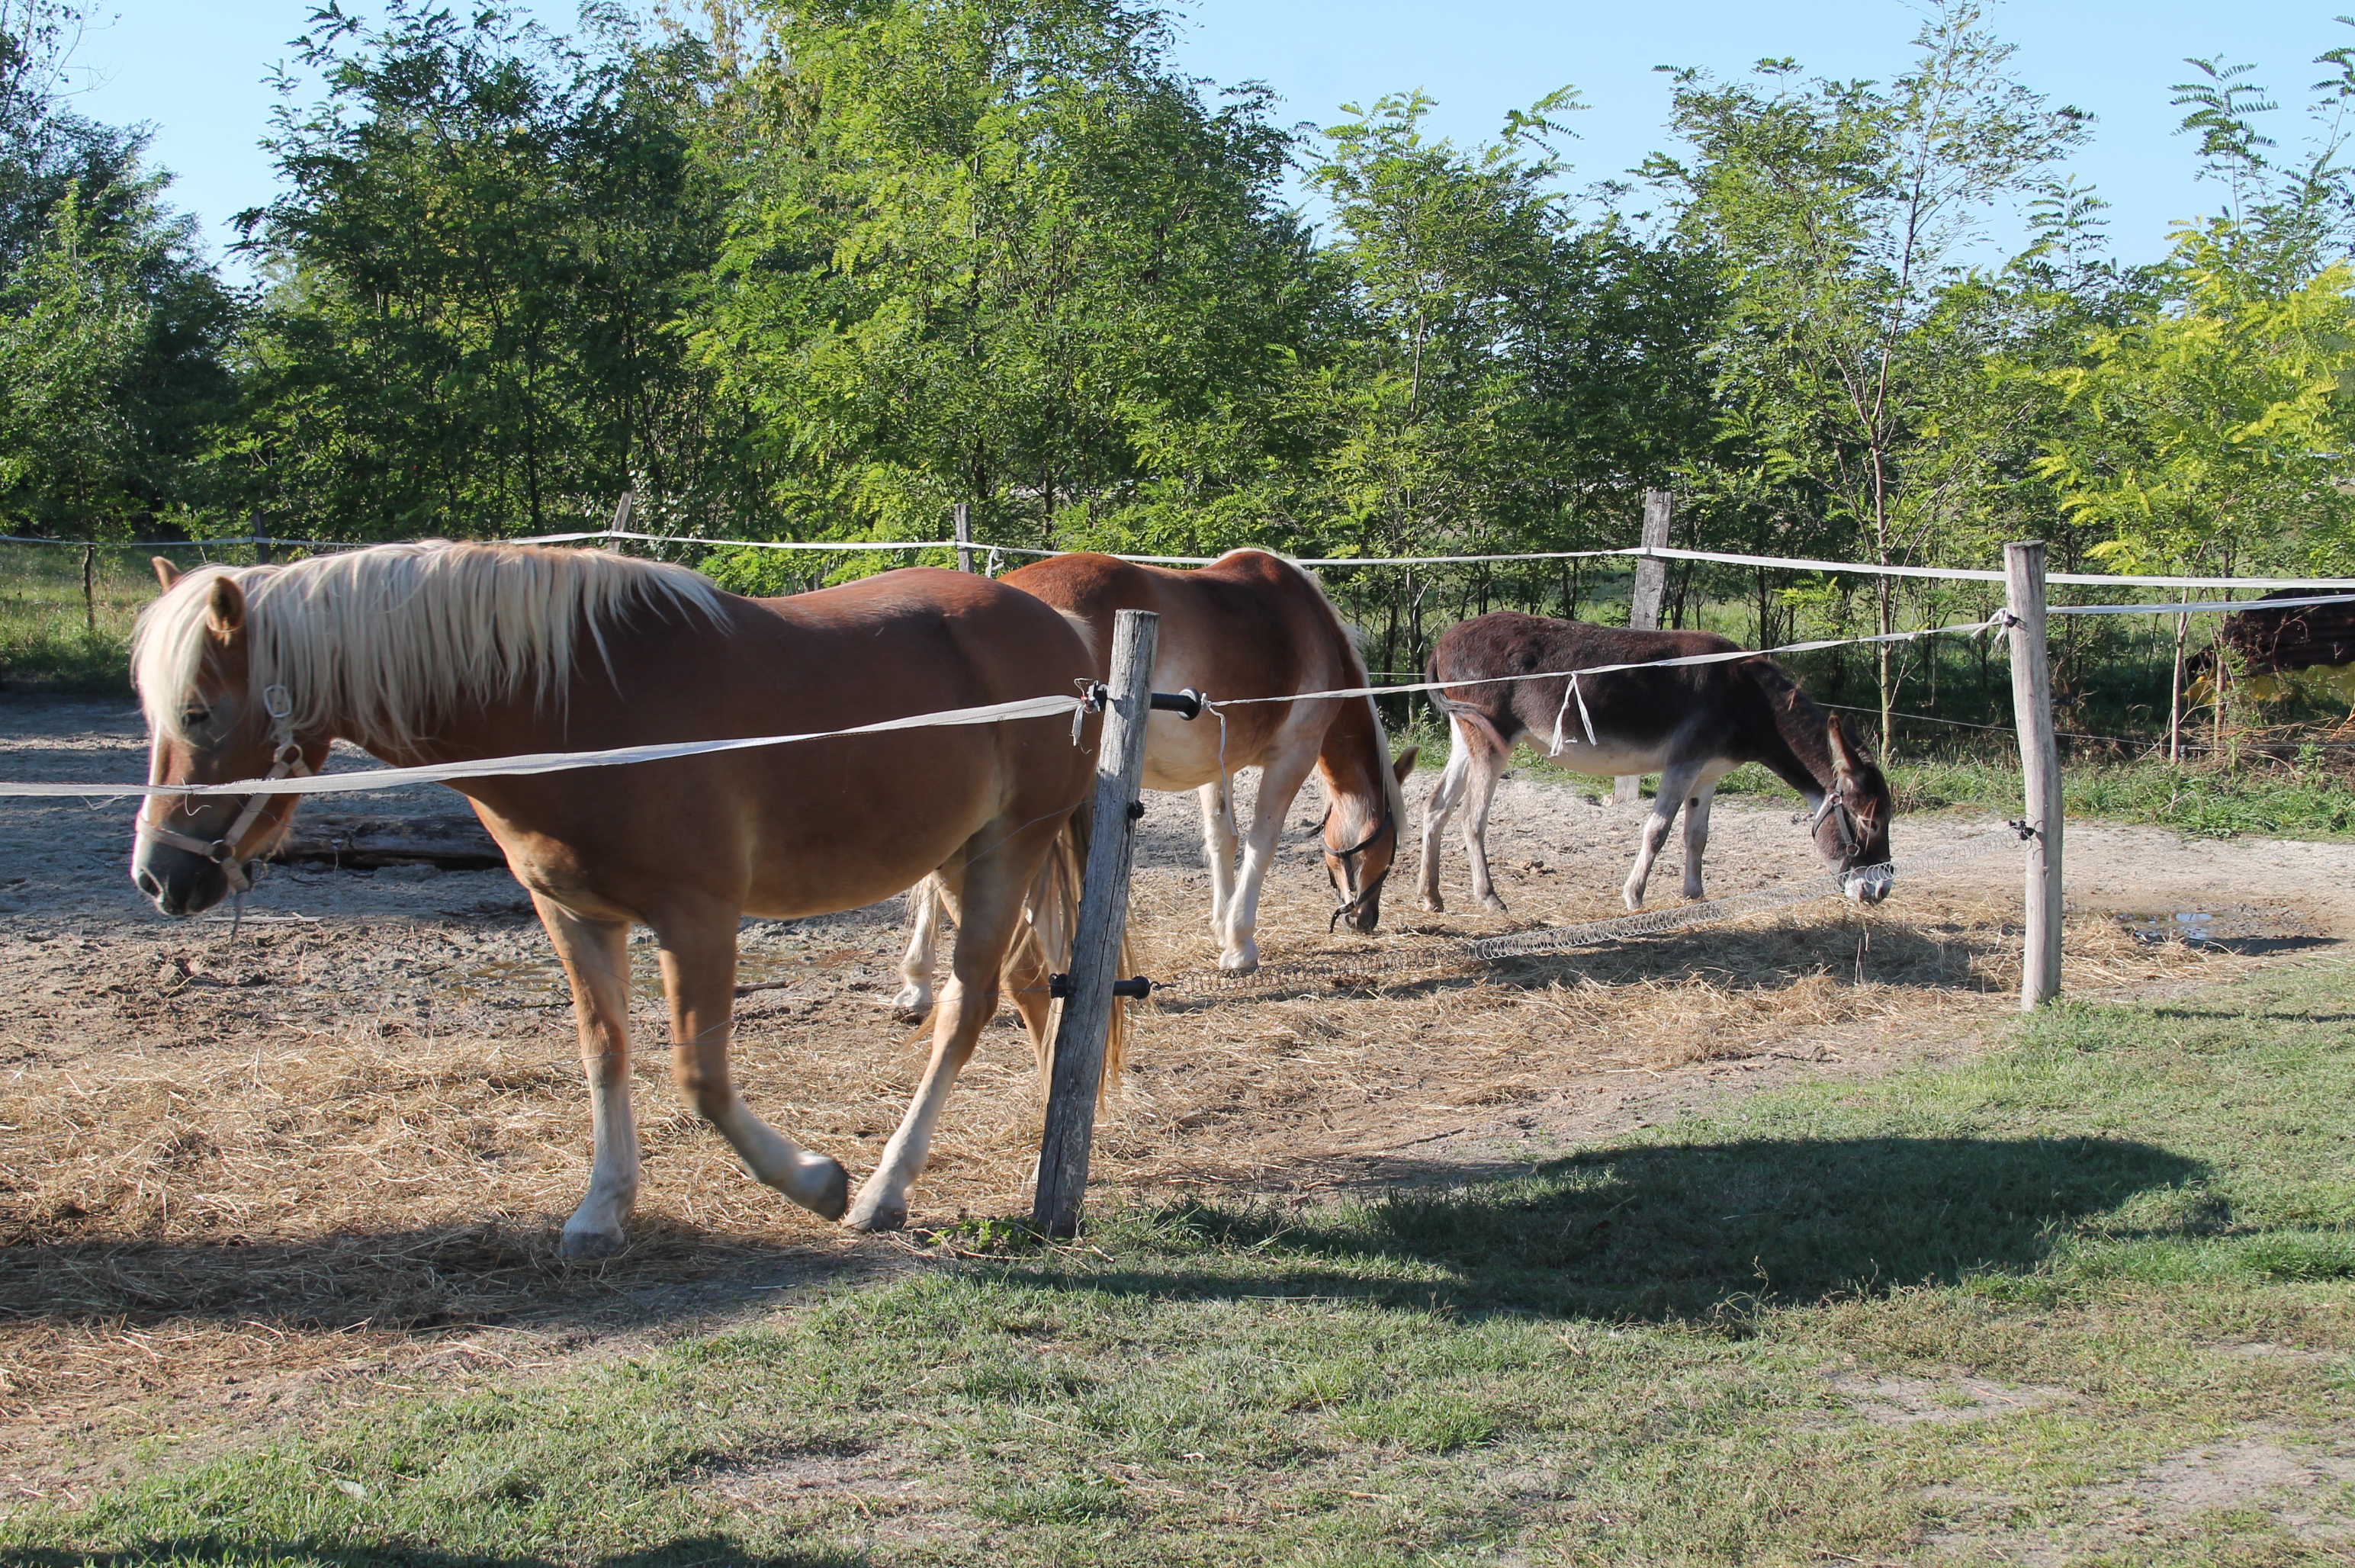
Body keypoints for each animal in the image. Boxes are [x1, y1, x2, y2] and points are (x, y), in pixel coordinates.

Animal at [129, 541, 1112, 1251]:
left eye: (201, 712)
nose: (157, 874)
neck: (574, 708)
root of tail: (1059, 630)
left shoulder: (699, 918)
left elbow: (700, 1077)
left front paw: (815, 1182)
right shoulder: (574, 915)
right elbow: (605, 1052)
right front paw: (603, 1208)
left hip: (1007, 850)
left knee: (966, 1001)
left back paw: (884, 1188)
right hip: (960, 858)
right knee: (1026, 982)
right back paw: (1053, 1122)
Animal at [894, 548, 1415, 1012]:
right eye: (1388, 848)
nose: (1366, 919)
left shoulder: (1217, 763)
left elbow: (1220, 840)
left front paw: (1221, 926)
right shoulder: (1293, 756)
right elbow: (1260, 845)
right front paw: (1240, 947)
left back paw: (917, 987)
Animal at [1415, 612, 1895, 915]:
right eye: (1869, 822)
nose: (1881, 890)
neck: (1749, 698)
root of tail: (1444, 642)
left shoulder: (1708, 774)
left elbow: (1696, 836)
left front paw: (1695, 895)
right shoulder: (1683, 763)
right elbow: (1657, 830)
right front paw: (1634, 896)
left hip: (1465, 735)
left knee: (1437, 806)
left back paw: (1431, 895)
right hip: (1490, 740)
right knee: (1472, 817)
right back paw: (1489, 898)